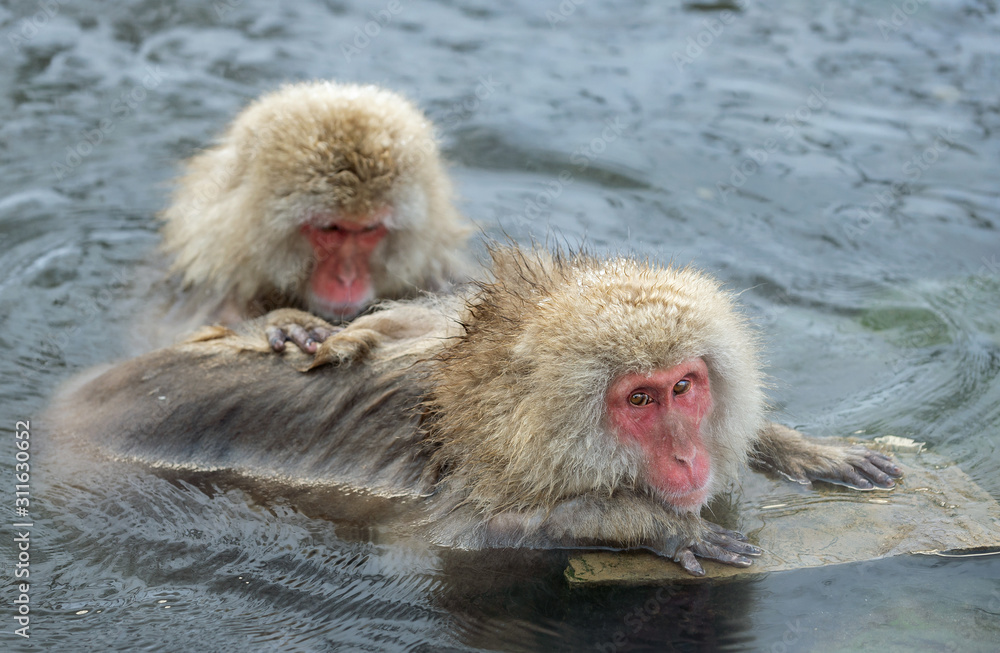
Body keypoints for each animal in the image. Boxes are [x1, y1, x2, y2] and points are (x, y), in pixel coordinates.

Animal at [48, 246, 900, 576]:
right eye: (640, 399)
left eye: (685, 387)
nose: (689, 456)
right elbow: (459, 537)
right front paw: (645, 523)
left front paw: (797, 446)